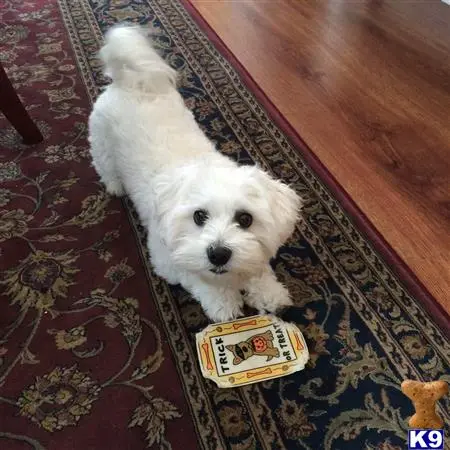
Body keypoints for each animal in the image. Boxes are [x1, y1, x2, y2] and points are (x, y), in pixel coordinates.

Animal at [88, 25, 302, 324]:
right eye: (199, 216)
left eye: (245, 219)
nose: (219, 254)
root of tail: (132, 81)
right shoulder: (167, 260)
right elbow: (197, 277)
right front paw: (222, 301)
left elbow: (256, 265)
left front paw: (268, 291)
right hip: (102, 142)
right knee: (104, 165)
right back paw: (115, 185)